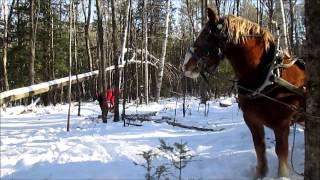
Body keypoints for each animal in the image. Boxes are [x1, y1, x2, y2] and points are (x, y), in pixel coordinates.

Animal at [182, 8, 304, 177]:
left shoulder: (282, 125)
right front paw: (260, 174)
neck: (268, 77)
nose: (185, 65)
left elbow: (281, 154)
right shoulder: (252, 122)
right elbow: (259, 149)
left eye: (206, 36)